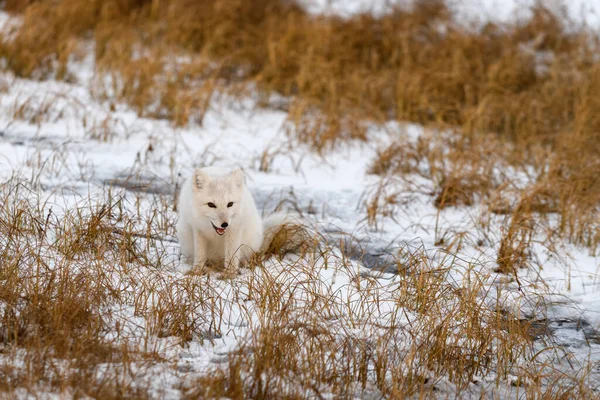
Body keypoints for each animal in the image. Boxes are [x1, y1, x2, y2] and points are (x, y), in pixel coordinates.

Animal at [173, 166, 304, 276]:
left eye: (230, 204)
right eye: (211, 205)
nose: (224, 224)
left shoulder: (235, 228)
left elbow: (232, 254)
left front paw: (229, 275)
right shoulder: (197, 228)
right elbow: (200, 254)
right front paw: (197, 272)